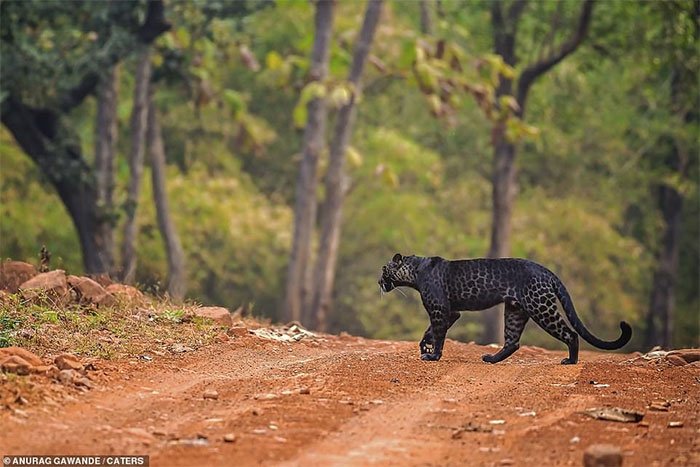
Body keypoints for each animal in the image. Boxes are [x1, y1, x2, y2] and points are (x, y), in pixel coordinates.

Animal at [380, 254, 632, 364]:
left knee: (570, 333)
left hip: (541, 306)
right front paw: (425, 346)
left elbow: (438, 333)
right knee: (513, 341)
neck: (415, 271)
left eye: (384, 269)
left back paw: (571, 361)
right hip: (515, 310)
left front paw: (433, 355)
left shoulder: (440, 309)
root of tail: (546, 270)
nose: (379, 281)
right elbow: (430, 331)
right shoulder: (452, 312)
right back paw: (492, 359)